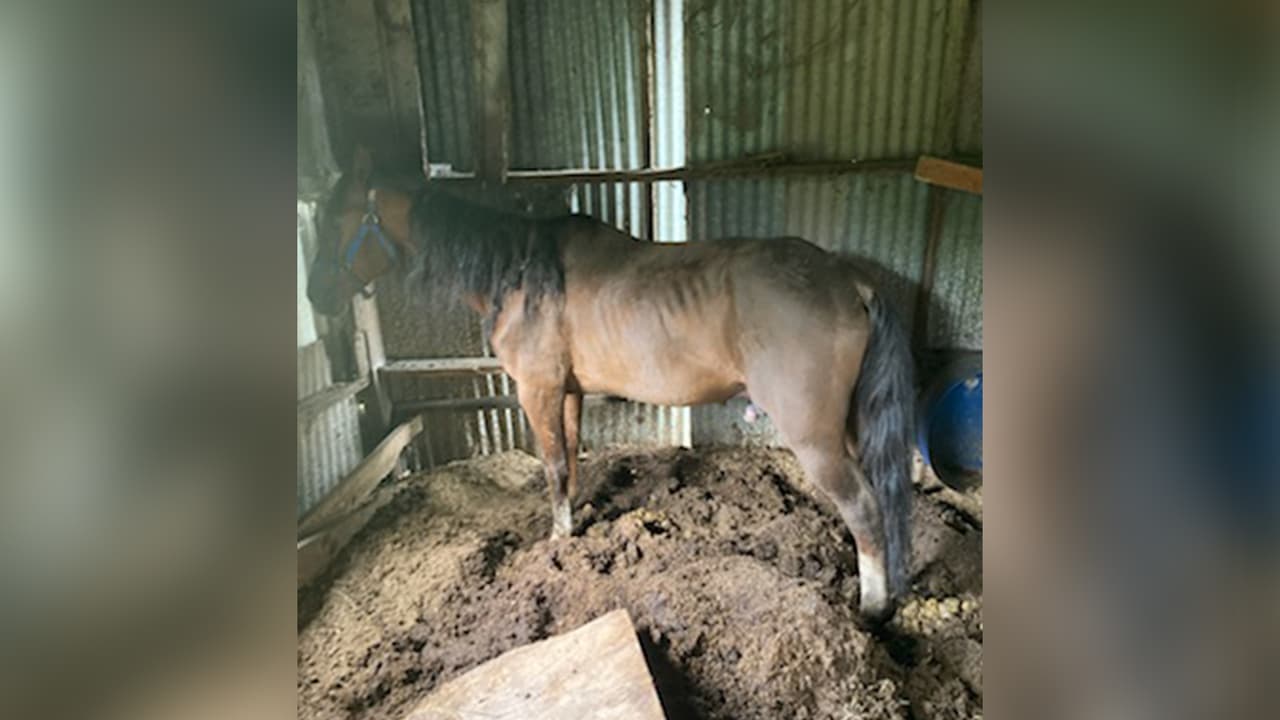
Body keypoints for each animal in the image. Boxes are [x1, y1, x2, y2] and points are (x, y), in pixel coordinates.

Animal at [307, 147, 916, 620]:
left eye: (336, 218)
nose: (316, 297)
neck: (520, 273)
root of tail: (847, 280)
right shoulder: (569, 393)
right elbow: (571, 461)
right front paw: (575, 520)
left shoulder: (537, 390)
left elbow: (552, 465)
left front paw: (557, 539)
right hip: (847, 427)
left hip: (813, 436)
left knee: (863, 506)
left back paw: (872, 609)